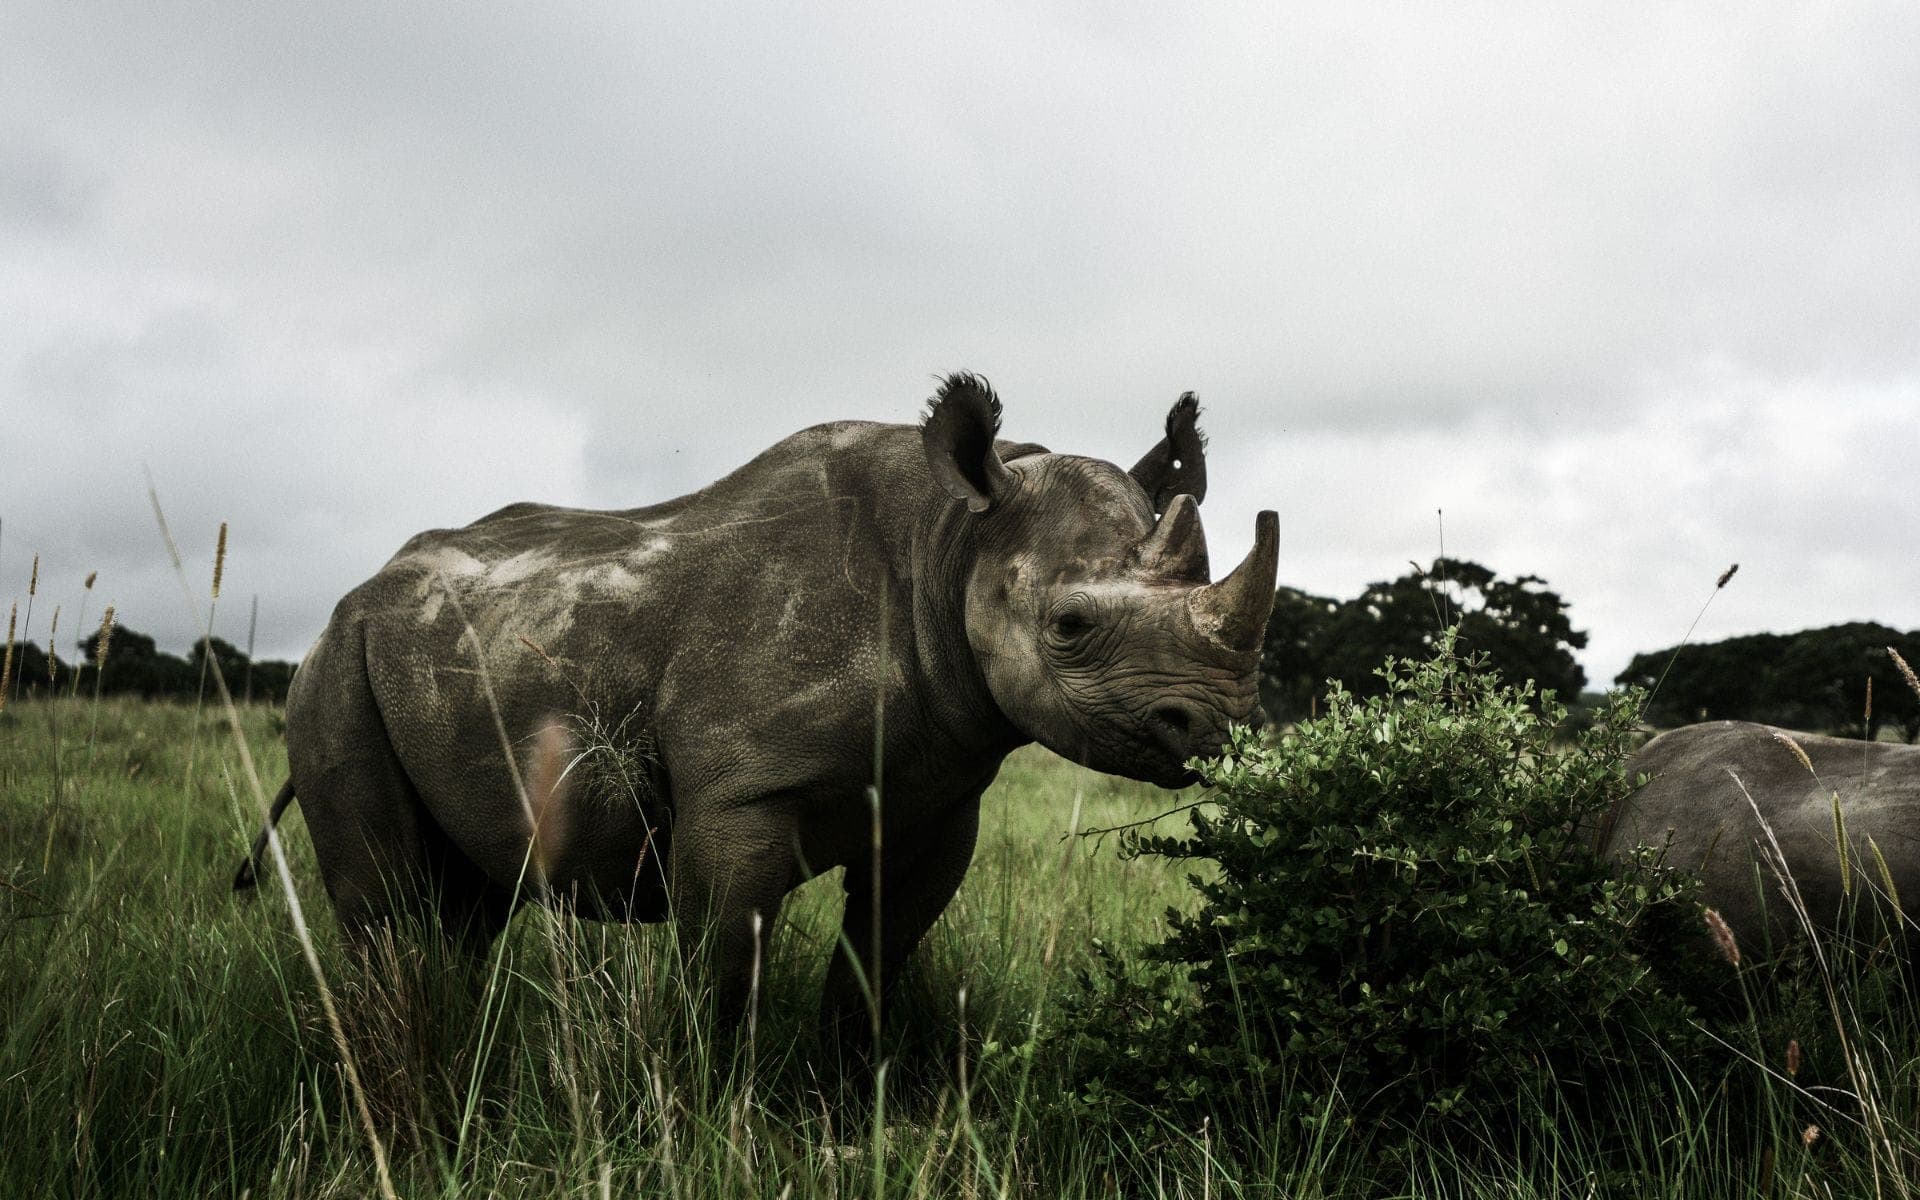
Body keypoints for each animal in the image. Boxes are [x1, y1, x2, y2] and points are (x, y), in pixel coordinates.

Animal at [243, 376, 1290, 1029]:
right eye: (1068, 625)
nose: (1216, 724)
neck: (952, 541)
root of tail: (352, 597)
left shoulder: (937, 797)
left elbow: (878, 957)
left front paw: (848, 1100)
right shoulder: (742, 794)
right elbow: (724, 974)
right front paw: (713, 1114)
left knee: (463, 902)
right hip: (332, 673)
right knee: (390, 905)